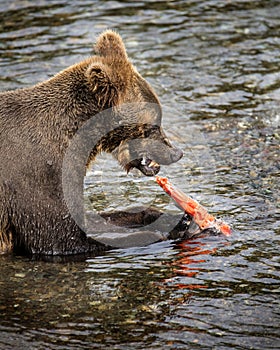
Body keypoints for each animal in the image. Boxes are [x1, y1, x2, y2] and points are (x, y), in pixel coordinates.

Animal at [0, 30, 184, 256]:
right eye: (153, 124)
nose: (176, 152)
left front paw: (165, 216)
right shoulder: (36, 174)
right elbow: (61, 237)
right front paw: (165, 232)